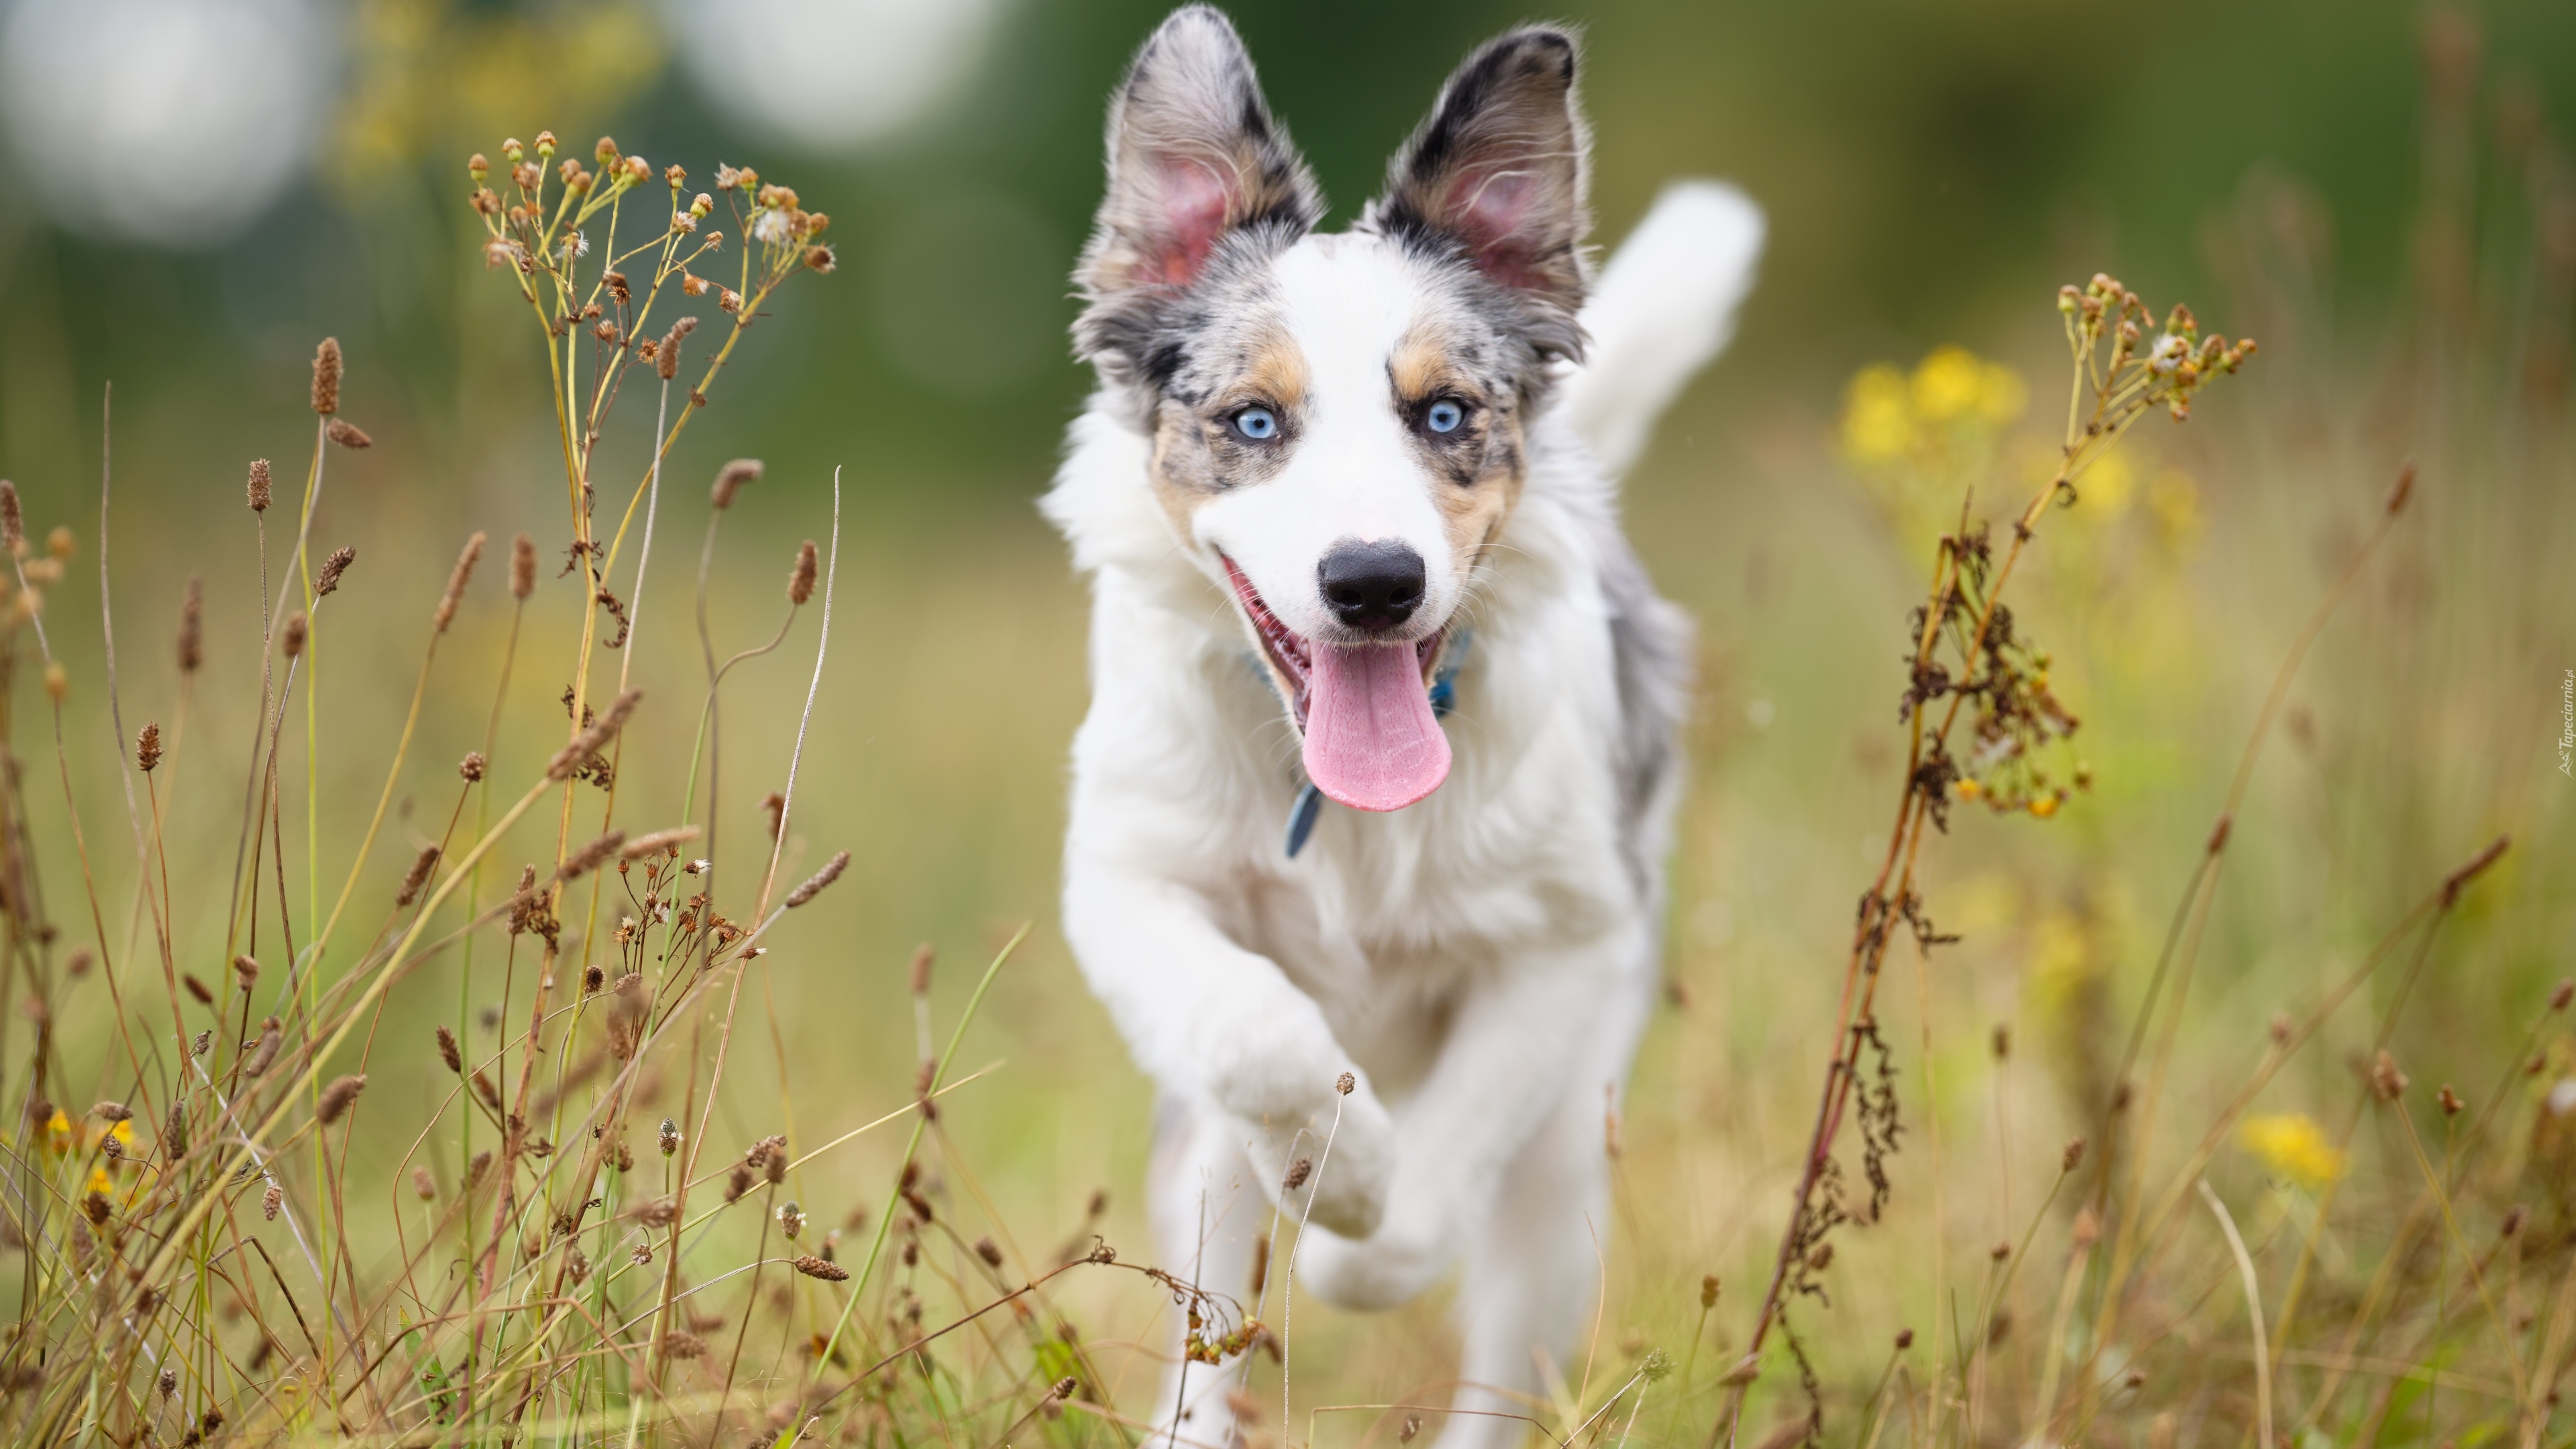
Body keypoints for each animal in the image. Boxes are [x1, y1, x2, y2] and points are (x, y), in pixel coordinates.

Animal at [1035, 8, 1762, 1433]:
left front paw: (1355, 1221)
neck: (1345, 811)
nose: (1374, 582)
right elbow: (1257, 1036)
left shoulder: (1568, 944)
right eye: (1255, 420)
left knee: (1509, 1341)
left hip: (1568, 1164)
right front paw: (1335, 1160)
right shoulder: (1128, 882)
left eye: (1444, 415)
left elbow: (1418, 1217)